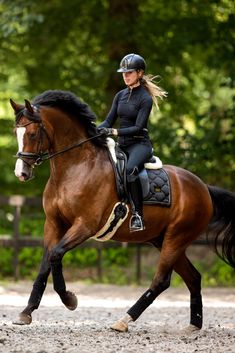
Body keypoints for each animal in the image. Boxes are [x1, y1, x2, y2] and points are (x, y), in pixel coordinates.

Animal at [10, 89, 235, 332]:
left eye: (32, 134)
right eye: (16, 132)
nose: (21, 173)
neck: (75, 167)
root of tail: (203, 188)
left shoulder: (85, 225)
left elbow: (56, 255)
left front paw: (69, 299)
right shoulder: (53, 223)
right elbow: (45, 263)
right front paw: (26, 312)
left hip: (176, 238)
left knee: (162, 280)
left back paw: (124, 320)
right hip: (164, 239)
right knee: (193, 277)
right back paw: (194, 325)